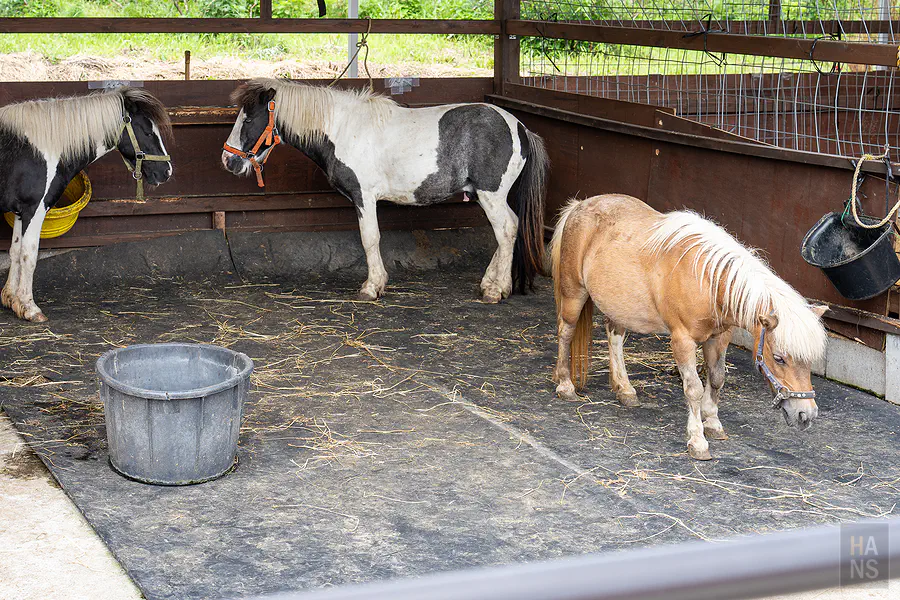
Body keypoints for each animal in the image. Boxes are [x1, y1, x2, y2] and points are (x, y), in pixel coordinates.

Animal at [0, 87, 173, 323]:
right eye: (147, 132)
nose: (166, 171)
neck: (42, 150)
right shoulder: (34, 210)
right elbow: (29, 254)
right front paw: (29, 307)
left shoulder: (20, 212)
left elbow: (15, 252)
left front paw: (11, 298)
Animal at [221, 79, 548, 302]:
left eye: (248, 118)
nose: (228, 161)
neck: (341, 129)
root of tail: (520, 128)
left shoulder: (364, 197)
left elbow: (370, 239)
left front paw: (372, 286)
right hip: (488, 196)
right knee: (509, 229)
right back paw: (491, 282)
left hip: (491, 195)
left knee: (505, 230)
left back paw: (497, 289)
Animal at [550, 194, 828, 460]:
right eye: (779, 358)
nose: (806, 415)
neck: (709, 281)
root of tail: (578, 206)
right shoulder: (682, 341)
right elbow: (693, 388)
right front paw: (697, 440)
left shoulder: (719, 338)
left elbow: (717, 379)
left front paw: (713, 423)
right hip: (574, 293)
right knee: (566, 332)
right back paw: (565, 385)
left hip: (619, 306)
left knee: (614, 337)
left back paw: (625, 390)